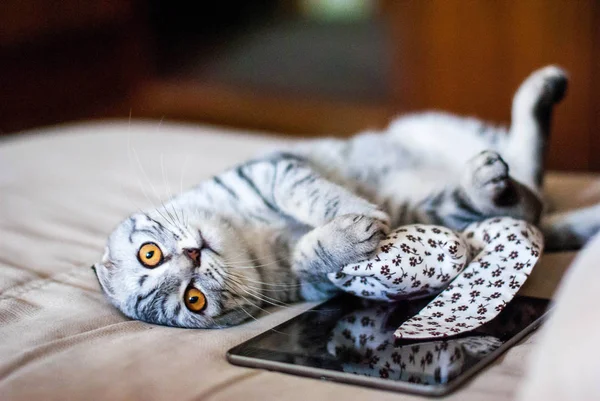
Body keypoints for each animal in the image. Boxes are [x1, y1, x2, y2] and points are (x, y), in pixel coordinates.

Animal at [92, 65, 600, 328]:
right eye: (193, 300)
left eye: (149, 253)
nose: (194, 256)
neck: (248, 236)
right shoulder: (311, 284)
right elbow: (310, 256)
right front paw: (344, 236)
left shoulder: (272, 170)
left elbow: (311, 194)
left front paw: (351, 211)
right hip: (449, 202)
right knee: (523, 191)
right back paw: (494, 180)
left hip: (434, 127)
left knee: (527, 164)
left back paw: (542, 88)